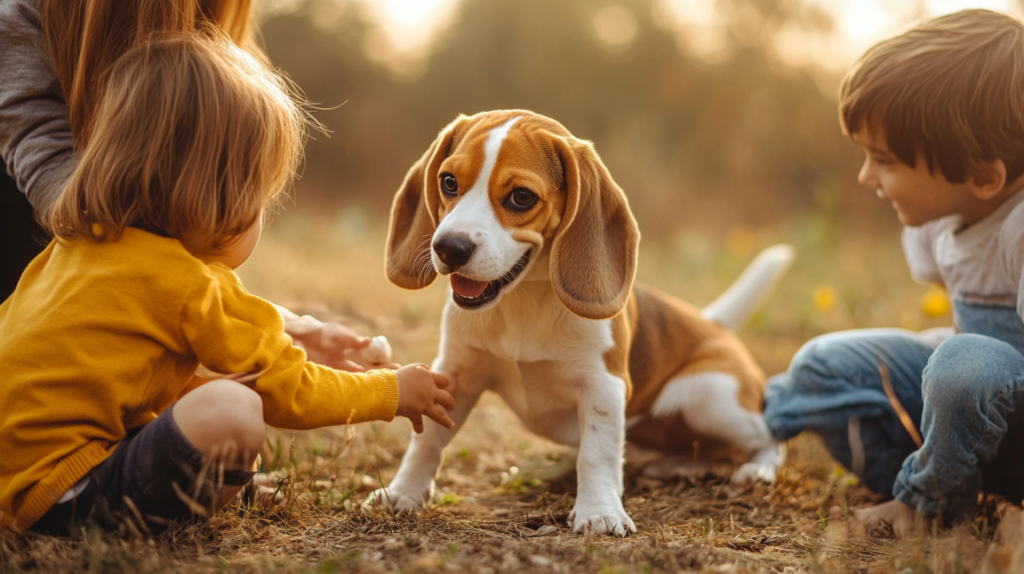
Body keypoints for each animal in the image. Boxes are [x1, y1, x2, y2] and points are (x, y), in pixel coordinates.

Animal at [374, 112, 790, 536]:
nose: (448, 248)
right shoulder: (455, 373)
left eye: (521, 197)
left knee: (771, 437)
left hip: (714, 401)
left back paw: (756, 470)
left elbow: (596, 454)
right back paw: (672, 465)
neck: (523, 300)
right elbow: (426, 441)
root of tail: (714, 323)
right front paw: (403, 493)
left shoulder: (602, 386)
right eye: (448, 182)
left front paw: (599, 512)